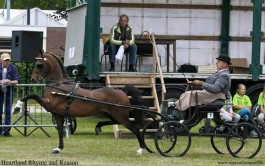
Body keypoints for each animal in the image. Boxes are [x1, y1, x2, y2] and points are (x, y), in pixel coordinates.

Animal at [12, 52, 144, 154]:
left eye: (39, 65)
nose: (33, 79)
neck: (58, 85)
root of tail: (123, 91)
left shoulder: (48, 104)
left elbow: (31, 95)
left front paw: (17, 107)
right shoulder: (57, 114)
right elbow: (60, 131)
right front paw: (58, 148)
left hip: (120, 115)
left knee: (135, 128)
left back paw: (141, 149)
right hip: (111, 114)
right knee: (114, 122)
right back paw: (98, 127)